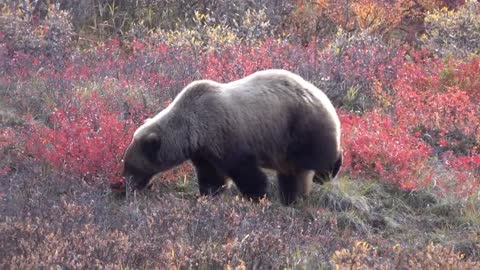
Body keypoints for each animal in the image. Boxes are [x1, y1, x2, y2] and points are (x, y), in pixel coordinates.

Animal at [122, 69, 344, 205]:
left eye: (131, 168)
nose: (128, 188)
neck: (192, 131)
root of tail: (321, 94)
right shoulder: (204, 151)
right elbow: (212, 177)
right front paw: (207, 195)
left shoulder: (228, 136)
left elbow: (246, 173)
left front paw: (257, 196)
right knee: (292, 173)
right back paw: (292, 198)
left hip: (300, 125)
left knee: (319, 157)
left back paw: (327, 171)